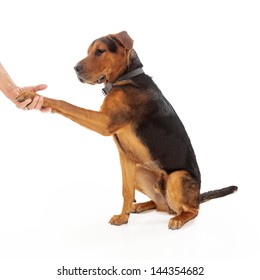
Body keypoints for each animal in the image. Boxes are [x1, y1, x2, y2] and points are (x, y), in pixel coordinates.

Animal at [16, 31, 238, 230]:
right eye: (88, 51)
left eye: (99, 51)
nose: (75, 68)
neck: (125, 78)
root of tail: (196, 196)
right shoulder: (126, 158)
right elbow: (126, 190)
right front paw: (124, 218)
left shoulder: (105, 122)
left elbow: (66, 104)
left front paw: (33, 96)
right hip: (141, 171)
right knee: (161, 205)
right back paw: (140, 206)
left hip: (178, 178)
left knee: (192, 210)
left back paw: (178, 219)